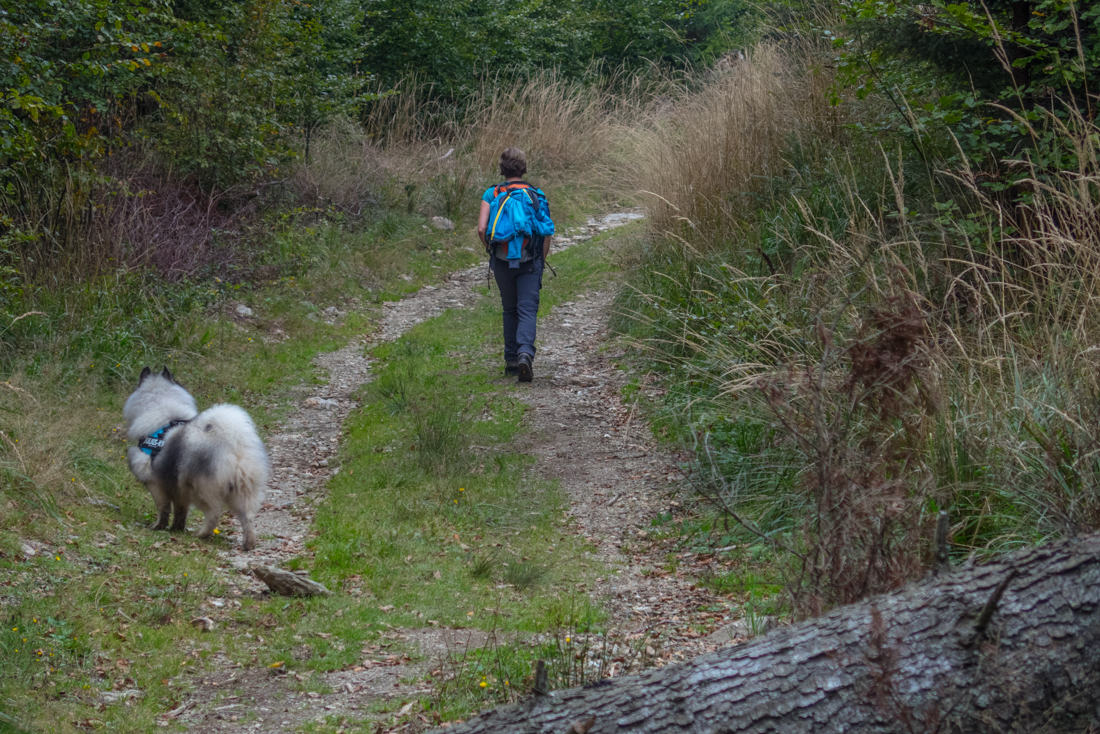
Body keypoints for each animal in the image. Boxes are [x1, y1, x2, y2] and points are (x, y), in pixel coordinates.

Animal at [124, 367, 268, 550]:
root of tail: (233, 447)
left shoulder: (155, 483)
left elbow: (163, 508)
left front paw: (158, 526)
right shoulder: (179, 489)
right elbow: (180, 511)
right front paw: (176, 528)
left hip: (202, 489)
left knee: (214, 513)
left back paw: (202, 535)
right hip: (242, 491)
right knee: (247, 518)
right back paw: (248, 543)